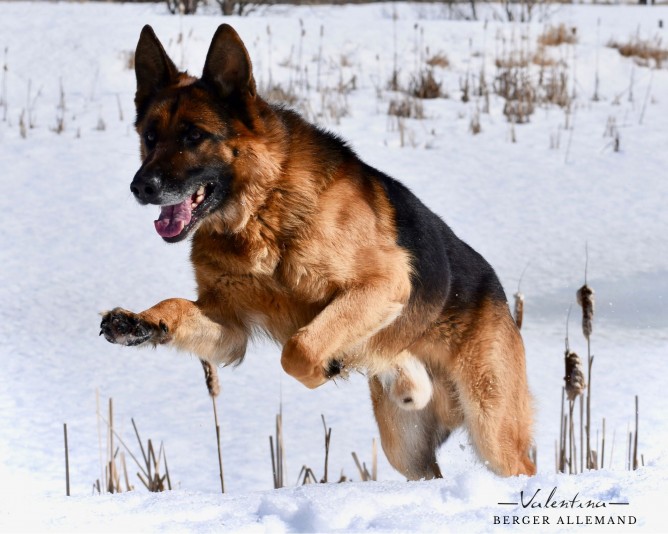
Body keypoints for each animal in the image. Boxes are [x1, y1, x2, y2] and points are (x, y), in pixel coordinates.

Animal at [100, 26, 536, 482]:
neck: (262, 210)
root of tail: (499, 293)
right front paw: (140, 321)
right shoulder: (230, 328)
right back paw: (407, 378)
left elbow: (300, 348)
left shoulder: (383, 284)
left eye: (193, 136)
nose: (141, 186)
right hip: (405, 447)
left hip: (492, 429)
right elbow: (179, 307)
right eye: (150, 137)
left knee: (520, 463)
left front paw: (325, 366)